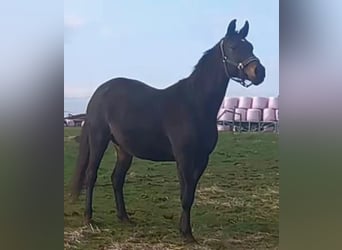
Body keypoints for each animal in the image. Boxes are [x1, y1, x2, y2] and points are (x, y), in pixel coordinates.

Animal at [71, 19, 266, 242]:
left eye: (250, 47)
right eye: (233, 47)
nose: (259, 72)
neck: (194, 103)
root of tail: (99, 92)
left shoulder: (202, 159)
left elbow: (190, 194)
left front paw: (185, 231)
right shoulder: (184, 158)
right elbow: (185, 196)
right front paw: (187, 234)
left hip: (124, 149)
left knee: (117, 179)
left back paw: (124, 218)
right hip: (99, 140)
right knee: (91, 175)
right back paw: (89, 218)